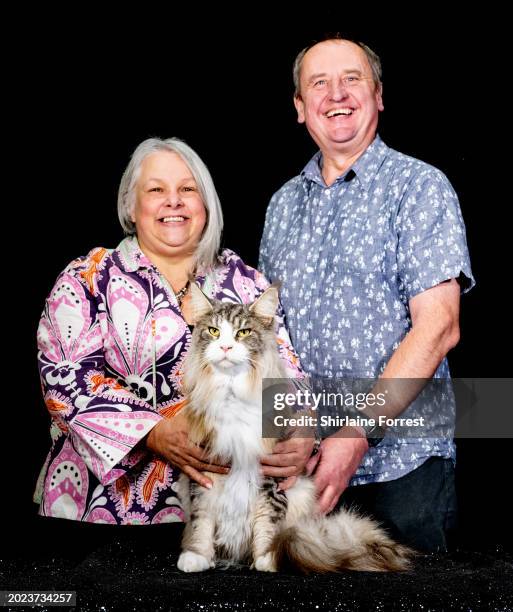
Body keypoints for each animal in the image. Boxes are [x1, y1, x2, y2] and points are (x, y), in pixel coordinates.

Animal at [176, 284, 412, 572]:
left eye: (243, 333)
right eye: (213, 331)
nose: (225, 346)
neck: (233, 395)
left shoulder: (272, 480)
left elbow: (267, 522)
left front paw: (268, 557)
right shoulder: (203, 472)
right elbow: (202, 520)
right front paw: (196, 555)